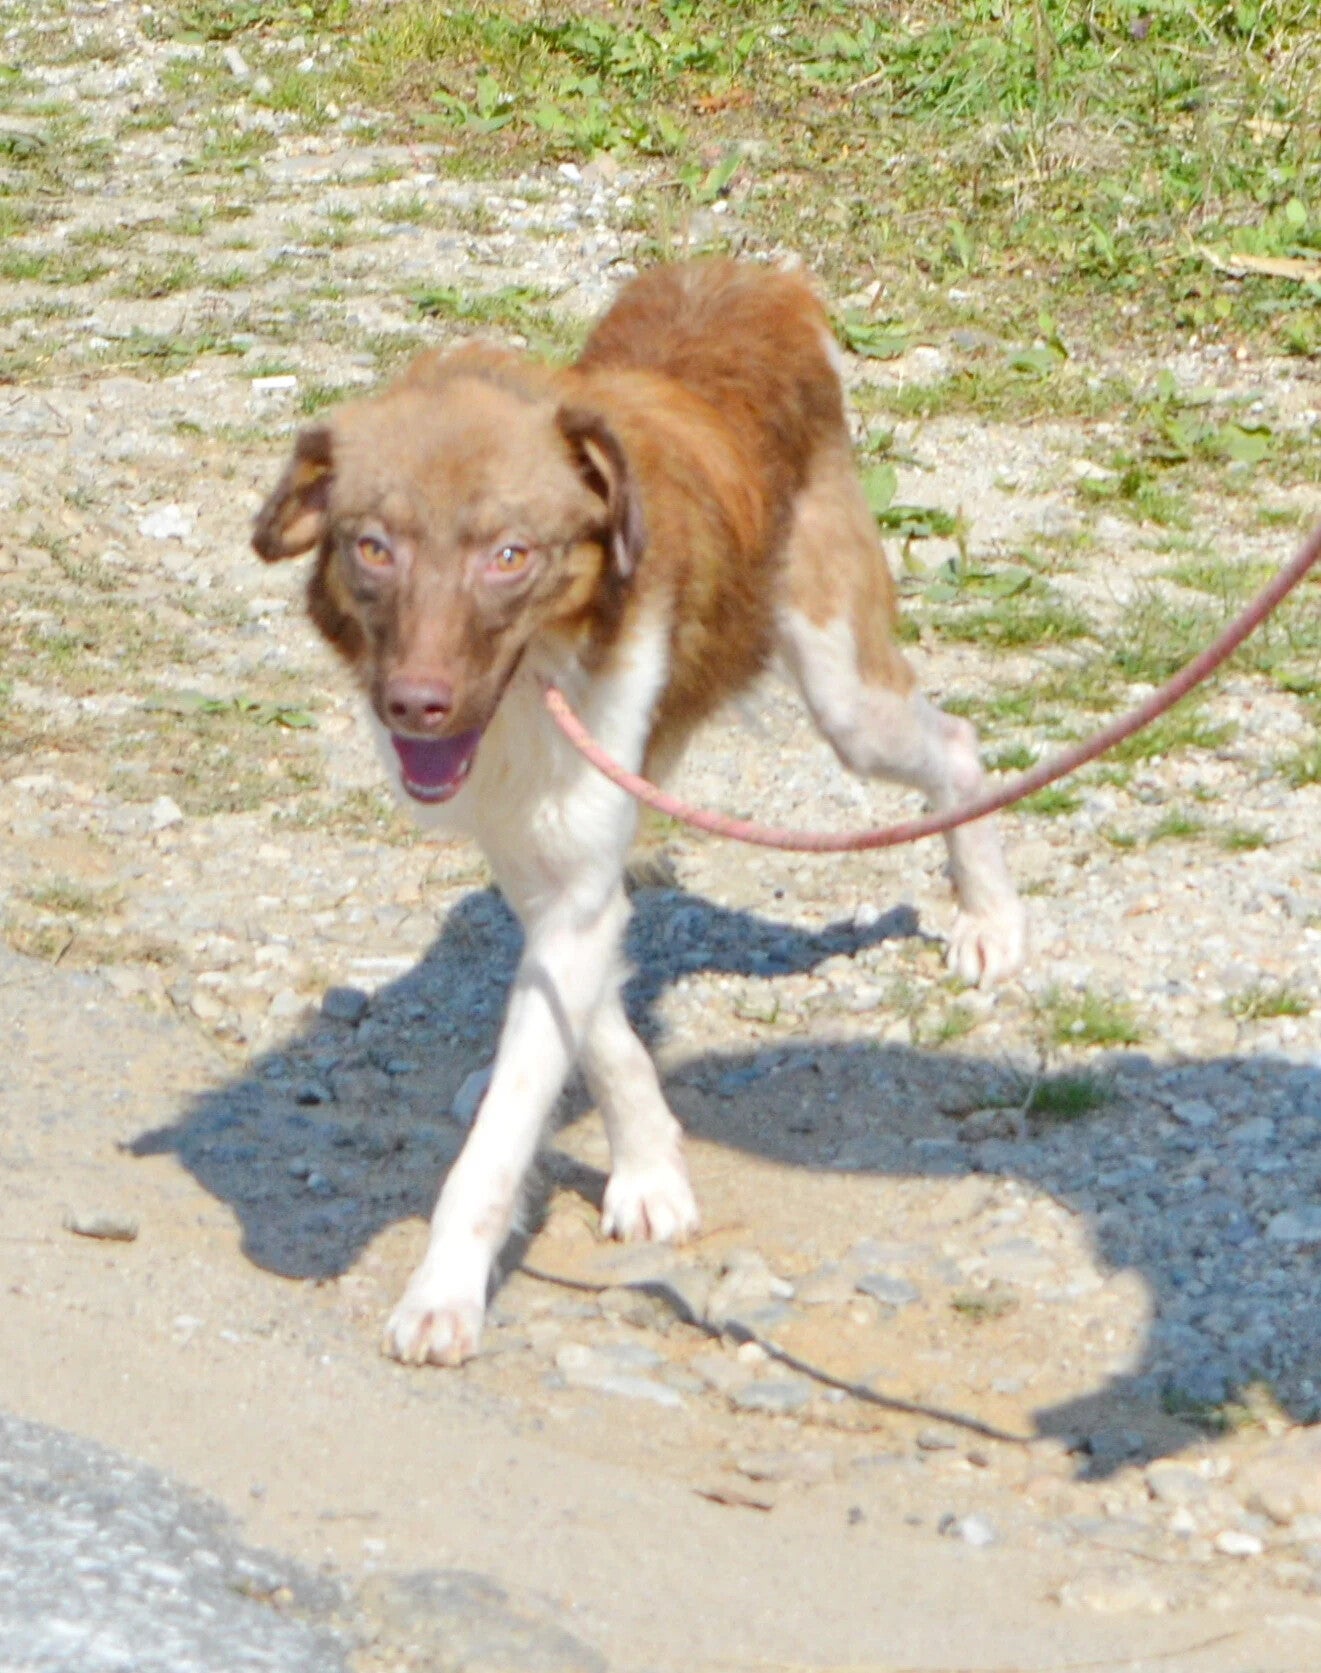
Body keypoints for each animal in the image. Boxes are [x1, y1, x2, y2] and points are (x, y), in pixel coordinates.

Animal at [252, 258, 1025, 1366]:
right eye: (372, 547)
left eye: (511, 554)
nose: (416, 706)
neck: (534, 682)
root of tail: (746, 277)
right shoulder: (539, 862)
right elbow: (595, 1026)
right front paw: (648, 1163)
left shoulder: (574, 870)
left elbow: (497, 1142)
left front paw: (443, 1291)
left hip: (842, 684)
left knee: (954, 743)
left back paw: (989, 919)